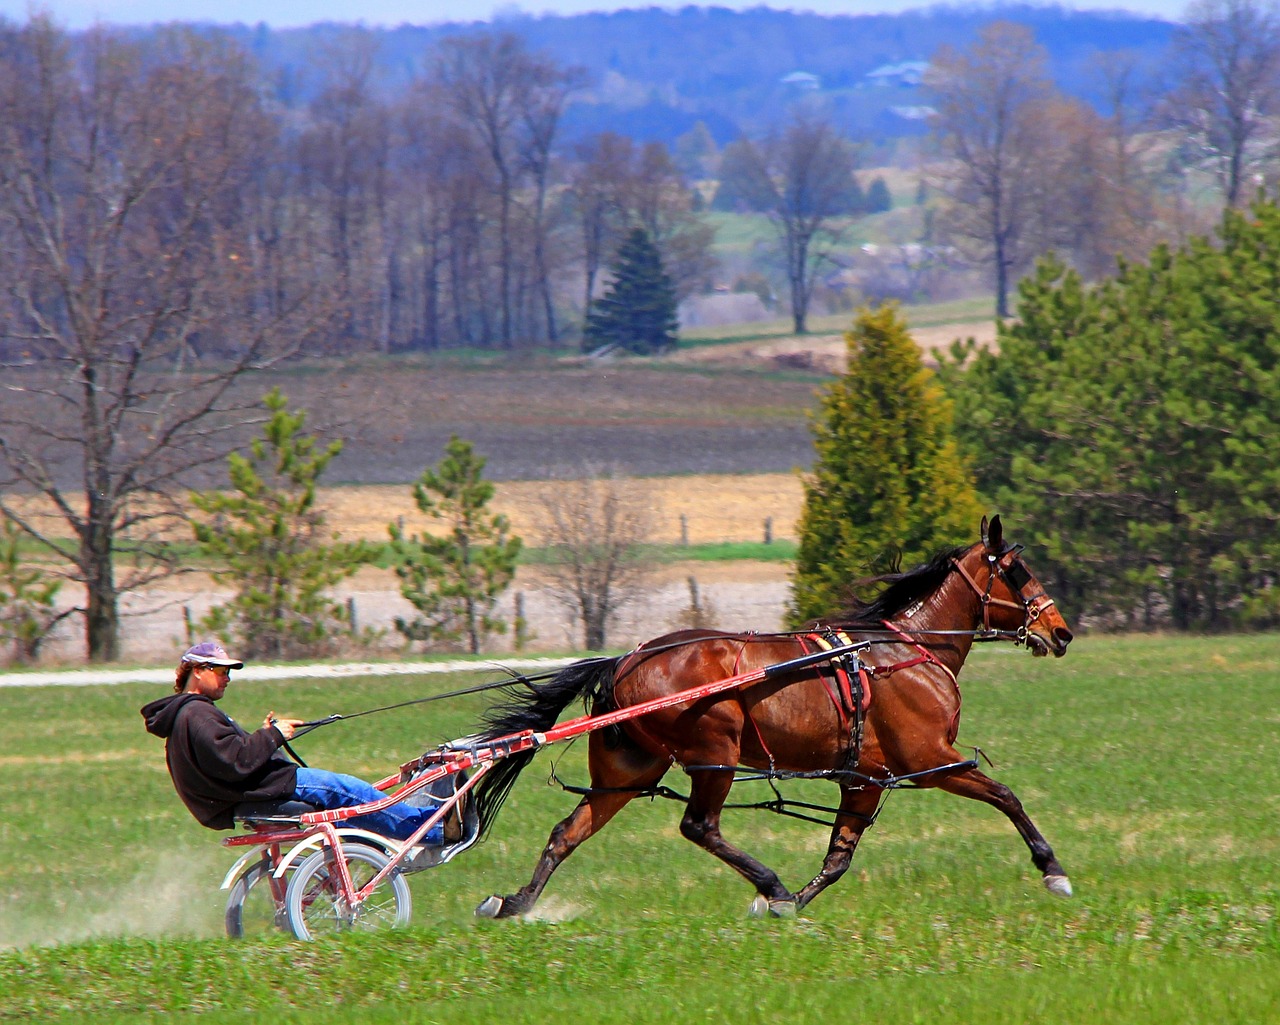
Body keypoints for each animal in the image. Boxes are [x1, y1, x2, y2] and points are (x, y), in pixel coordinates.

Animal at [471, 516, 1070, 916]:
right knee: (699, 826)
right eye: (1018, 572)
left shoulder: (867, 778)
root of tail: (626, 660)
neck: (906, 651)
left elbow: (839, 856)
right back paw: (770, 884)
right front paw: (1053, 870)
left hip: (629, 771)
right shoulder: (930, 759)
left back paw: (516, 902)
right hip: (716, 754)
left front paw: (800, 903)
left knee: (568, 831)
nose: (1060, 631)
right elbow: (1006, 797)